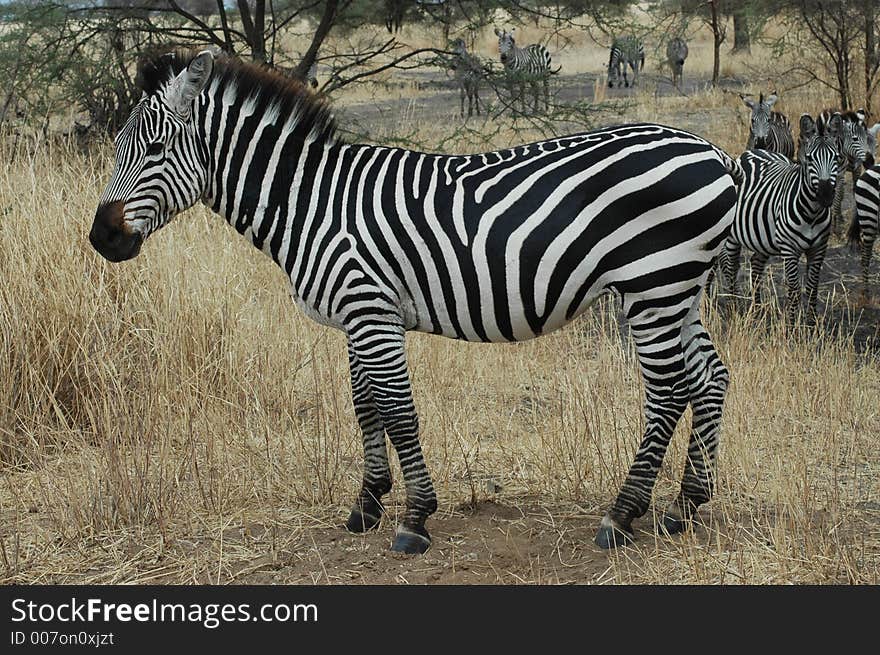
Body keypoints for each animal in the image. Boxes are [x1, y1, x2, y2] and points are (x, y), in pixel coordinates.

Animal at [89, 50, 740, 552]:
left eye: (152, 150)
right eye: (117, 147)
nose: (100, 239)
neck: (310, 202)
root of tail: (715, 154)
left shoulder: (371, 310)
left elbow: (398, 411)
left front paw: (415, 520)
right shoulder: (357, 314)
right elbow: (366, 408)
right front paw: (366, 506)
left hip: (652, 284)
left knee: (668, 390)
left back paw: (621, 516)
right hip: (679, 289)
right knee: (710, 376)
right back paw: (685, 507)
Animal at [724, 116, 844, 326]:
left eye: (836, 158)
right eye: (810, 159)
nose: (826, 195)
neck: (812, 213)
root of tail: (752, 150)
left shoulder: (819, 248)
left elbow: (812, 288)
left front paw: (811, 325)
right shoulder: (790, 249)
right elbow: (794, 290)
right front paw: (791, 327)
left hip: (762, 237)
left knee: (756, 266)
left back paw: (757, 310)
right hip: (733, 236)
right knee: (732, 268)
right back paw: (733, 308)